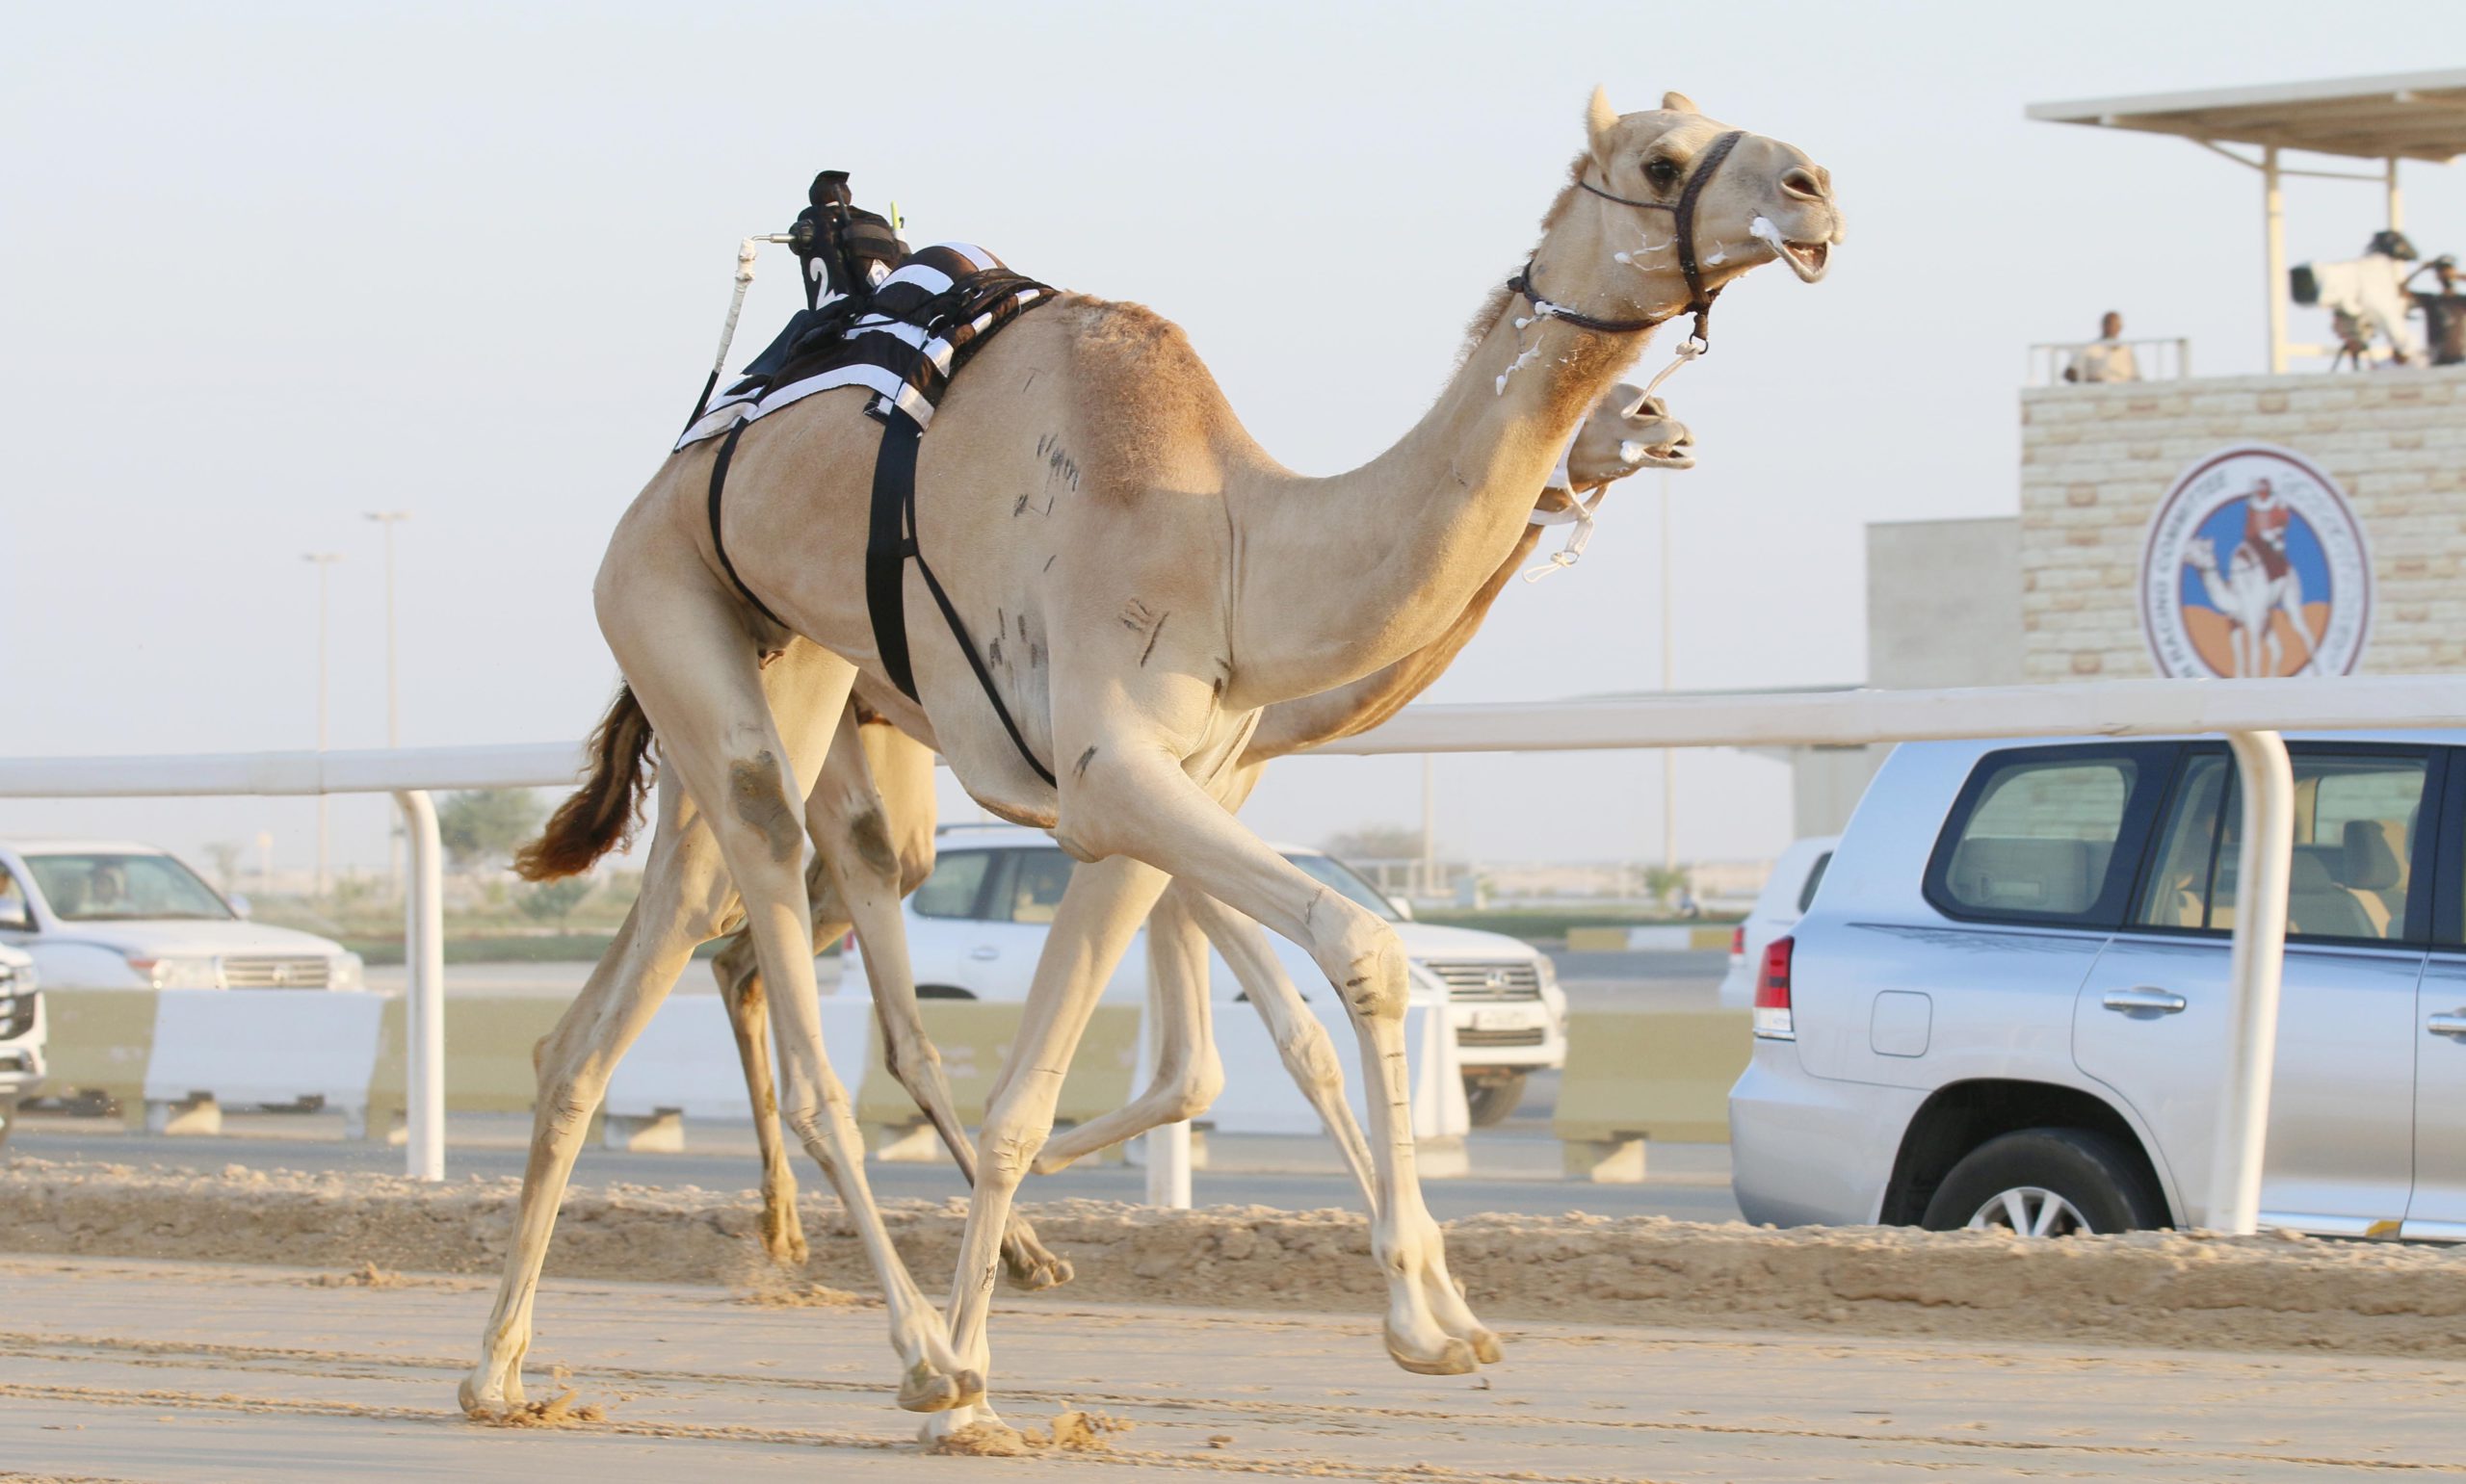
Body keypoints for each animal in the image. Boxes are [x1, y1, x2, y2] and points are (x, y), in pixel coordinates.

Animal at [463, 89, 1844, 1429]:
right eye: (1662, 158)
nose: (1813, 187)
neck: (1235, 545)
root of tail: (682, 458)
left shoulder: (1145, 797)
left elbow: (1212, 1042)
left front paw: (1434, 1317)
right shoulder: (1122, 774)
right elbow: (1330, 960)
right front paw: (981, 1380)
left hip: (794, 671)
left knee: (628, 997)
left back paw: (506, 1367)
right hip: (666, 602)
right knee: (792, 972)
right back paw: (911, 1349)